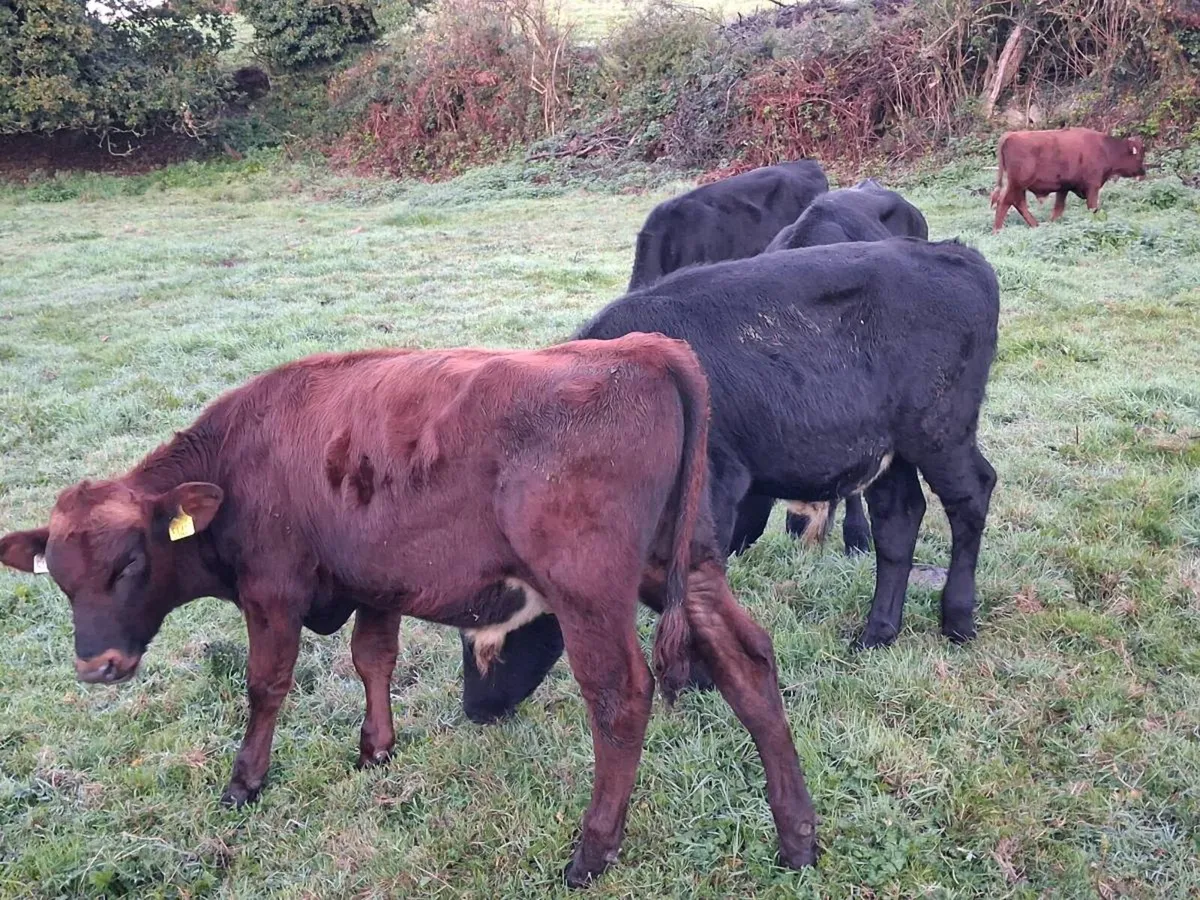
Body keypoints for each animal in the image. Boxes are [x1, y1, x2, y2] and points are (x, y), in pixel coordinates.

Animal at [0, 335, 819, 887]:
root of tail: (641, 349)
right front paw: (377, 748)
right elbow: (374, 659)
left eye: (130, 563)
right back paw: (798, 836)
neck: (241, 458)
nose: (97, 666)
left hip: (590, 594)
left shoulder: (273, 590)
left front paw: (245, 782)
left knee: (621, 697)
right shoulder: (375, 584)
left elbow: (266, 686)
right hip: (690, 568)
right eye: (61, 580)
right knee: (748, 664)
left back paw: (592, 851)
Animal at [459, 239, 1000, 728]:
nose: (476, 710)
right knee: (898, 520)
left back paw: (957, 619)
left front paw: (701, 678)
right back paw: (877, 632)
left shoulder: (712, 486)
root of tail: (958, 253)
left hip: (940, 432)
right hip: (892, 450)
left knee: (972, 495)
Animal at [990, 127, 1147, 232]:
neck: (1106, 149)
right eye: (1139, 156)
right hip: (1017, 184)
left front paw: (1052, 224)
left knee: (1018, 203)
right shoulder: (1093, 186)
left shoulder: (1063, 188)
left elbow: (1058, 209)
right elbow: (1092, 207)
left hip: (1019, 187)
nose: (1143, 172)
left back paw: (1036, 225)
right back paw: (997, 231)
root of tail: (1010, 135)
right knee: (1005, 202)